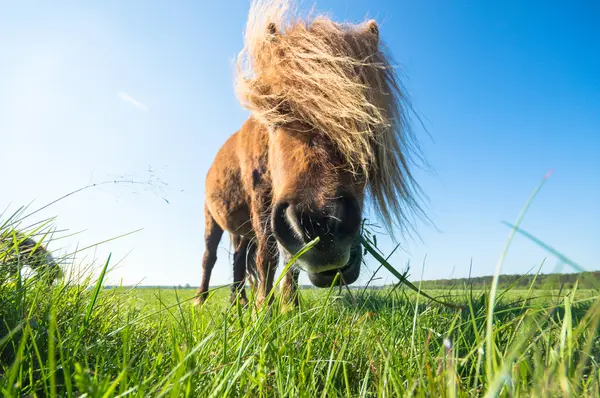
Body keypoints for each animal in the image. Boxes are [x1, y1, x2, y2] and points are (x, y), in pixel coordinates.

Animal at [195, 0, 424, 308]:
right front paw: (263, 310)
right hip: (212, 219)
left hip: (239, 230)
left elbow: (290, 263)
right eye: (274, 113)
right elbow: (268, 256)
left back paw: (237, 303)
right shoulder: (263, 203)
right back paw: (202, 301)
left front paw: (288, 307)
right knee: (210, 257)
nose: (319, 223)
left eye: (365, 117)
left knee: (239, 259)